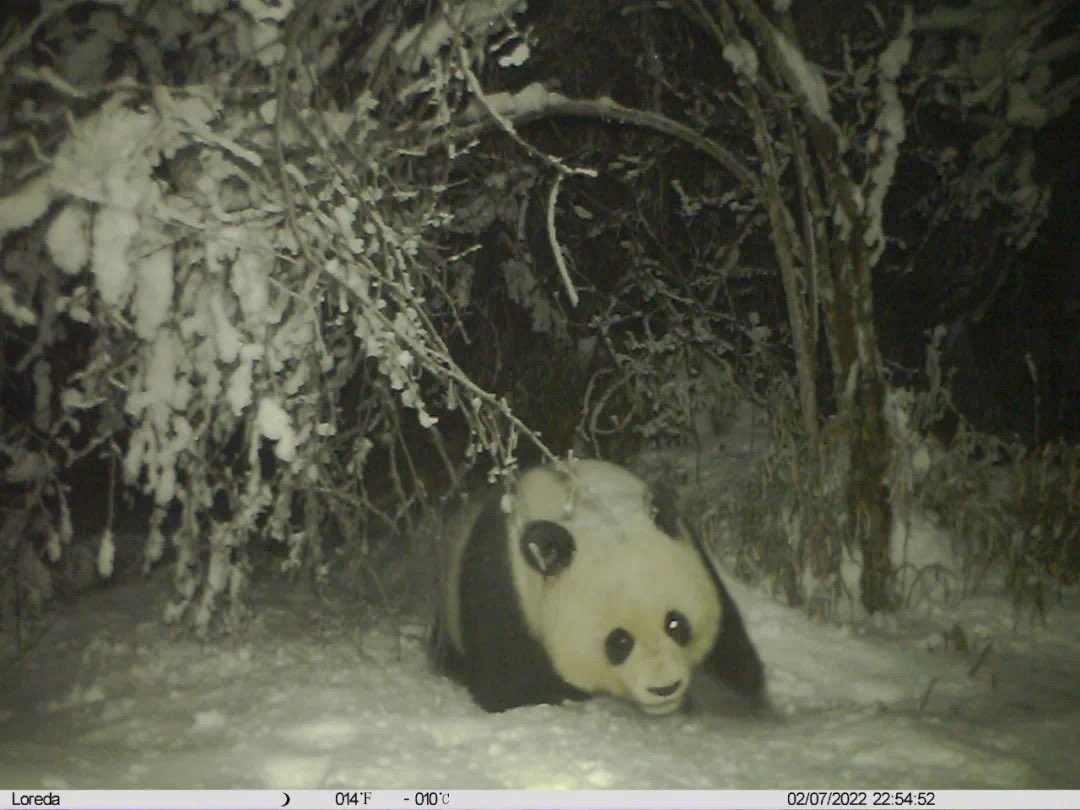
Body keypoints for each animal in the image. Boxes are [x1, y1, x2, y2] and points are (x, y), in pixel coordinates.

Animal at [432, 458, 765, 715]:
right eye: (619, 641)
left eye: (676, 623)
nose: (665, 687)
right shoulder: (505, 590)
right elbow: (510, 685)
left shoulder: (693, 552)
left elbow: (730, 644)